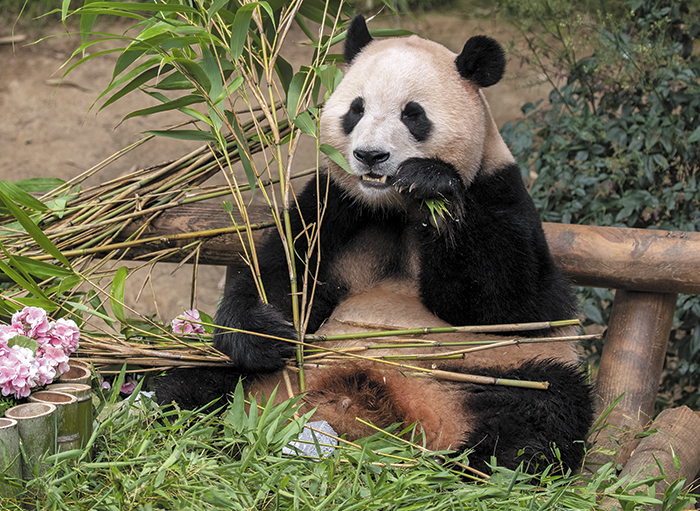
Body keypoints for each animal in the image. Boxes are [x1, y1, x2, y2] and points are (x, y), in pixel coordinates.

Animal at [156, 15, 592, 476]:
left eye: (413, 114)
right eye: (356, 109)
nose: (370, 156)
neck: (391, 206)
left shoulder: (498, 191)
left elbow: (506, 303)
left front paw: (431, 183)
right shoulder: (333, 203)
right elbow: (283, 271)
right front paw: (265, 332)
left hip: (497, 372)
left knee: (540, 413)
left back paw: (467, 466)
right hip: (257, 379)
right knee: (192, 380)